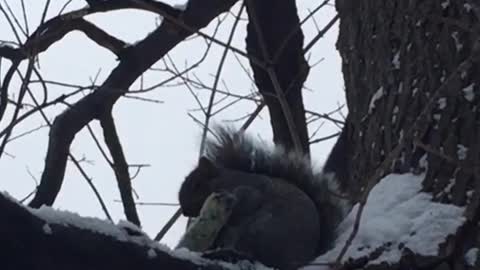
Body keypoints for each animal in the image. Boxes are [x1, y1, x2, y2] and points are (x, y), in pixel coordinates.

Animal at [178, 127, 350, 270]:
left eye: (197, 185)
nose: (185, 211)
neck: (227, 181)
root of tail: (298, 261)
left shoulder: (252, 192)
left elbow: (245, 202)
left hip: (262, 229)